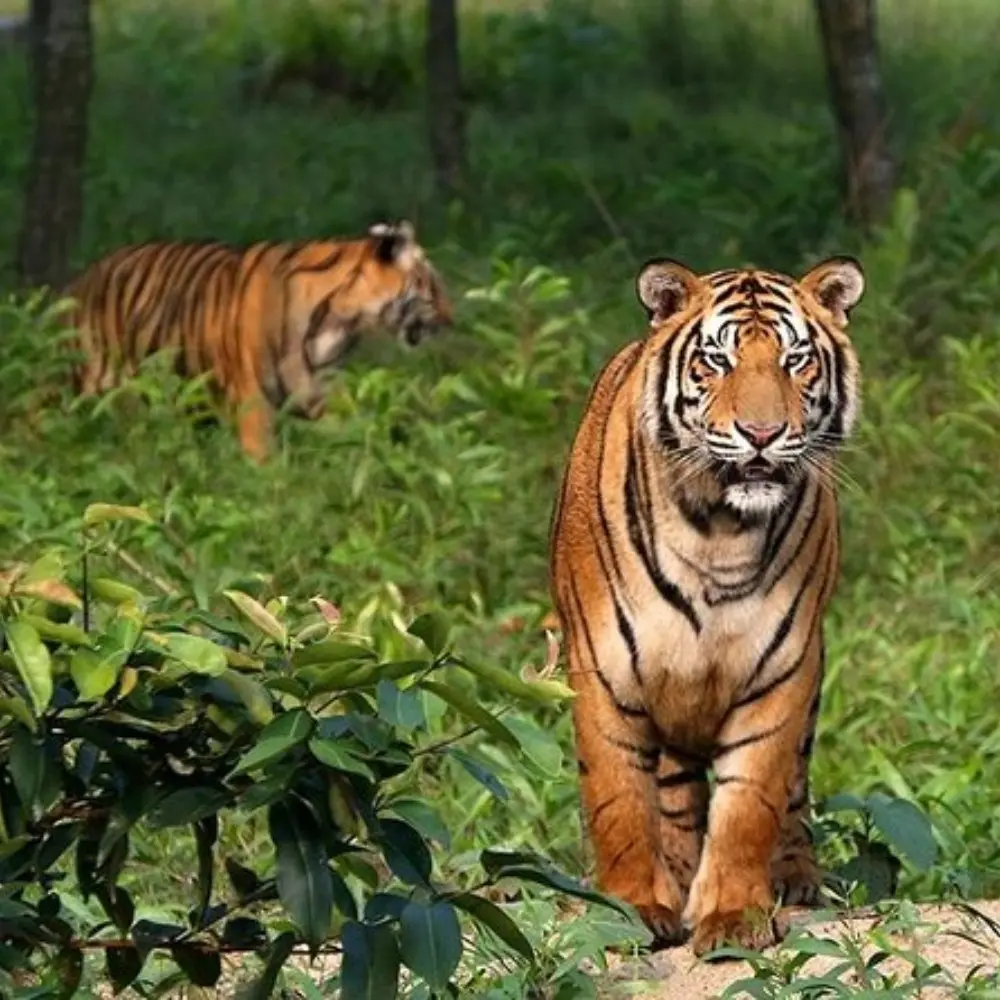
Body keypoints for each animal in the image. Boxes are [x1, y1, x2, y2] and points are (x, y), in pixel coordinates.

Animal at [66, 220, 454, 461]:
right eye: (432, 287)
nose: (452, 319)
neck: (341, 322)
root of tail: (82, 278)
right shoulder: (253, 403)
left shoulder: (321, 393)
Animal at [548, 255, 864, 957]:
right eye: (716, 360)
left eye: (795, 360)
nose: (762, 434)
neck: (718, 530)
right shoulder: (604, 670)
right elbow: (618, 800)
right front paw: (632, 908)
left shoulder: (781, 670)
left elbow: (750, 804)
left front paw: (734, 917)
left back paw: (794, 876)